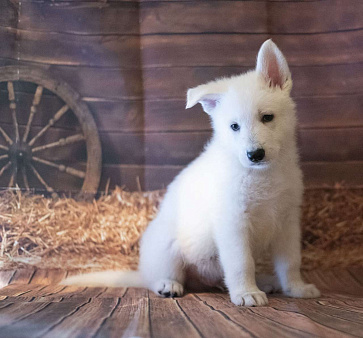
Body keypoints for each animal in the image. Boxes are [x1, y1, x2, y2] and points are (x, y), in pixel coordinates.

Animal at [64, 39, 320, 306]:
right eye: (234, 126)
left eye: (267, 117)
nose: (255, 154)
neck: (261, 174)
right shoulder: (233, 223)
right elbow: (241, 263)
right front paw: (246, 293)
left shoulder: (287, 221)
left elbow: (290, 262)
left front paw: (296, 288)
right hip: (166, 246)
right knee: (160, 277)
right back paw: (168, 284)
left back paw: (266, 282)